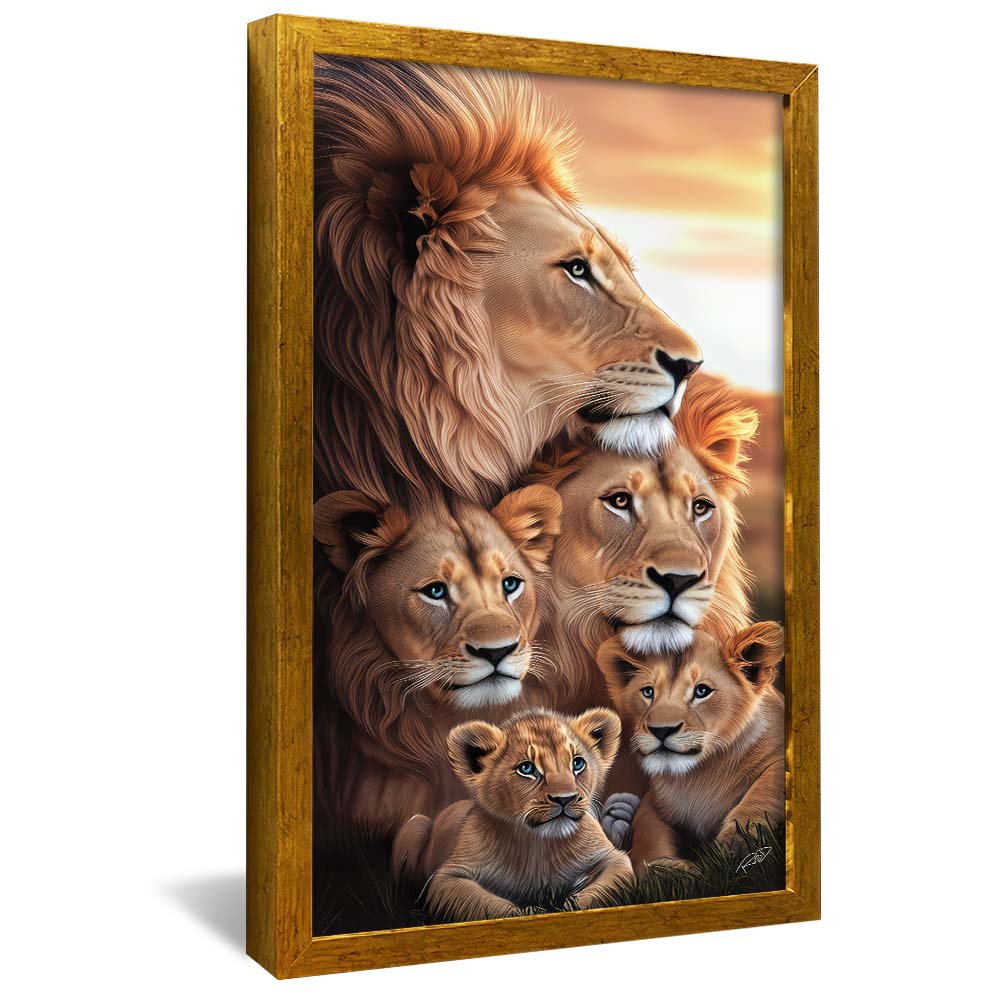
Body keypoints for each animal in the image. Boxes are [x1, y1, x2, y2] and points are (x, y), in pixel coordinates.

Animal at [392, 707, 633, 922]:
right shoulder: (448, 878)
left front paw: (569, 906)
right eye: (526, 769)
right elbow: (491, 906)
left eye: (577, 763)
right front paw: (532, 911)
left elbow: (603, 890)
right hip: (416, 823)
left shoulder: (613, 858)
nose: (565, 799)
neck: (539, 846)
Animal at [595, 623, 785, 870]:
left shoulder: (778, 759)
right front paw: (666, 867)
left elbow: (760, 798)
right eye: (648, 692)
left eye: (702, 691)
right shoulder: (654, 803)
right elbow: (649, 835)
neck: (700, 776)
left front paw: (730, 851)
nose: (661, 730)